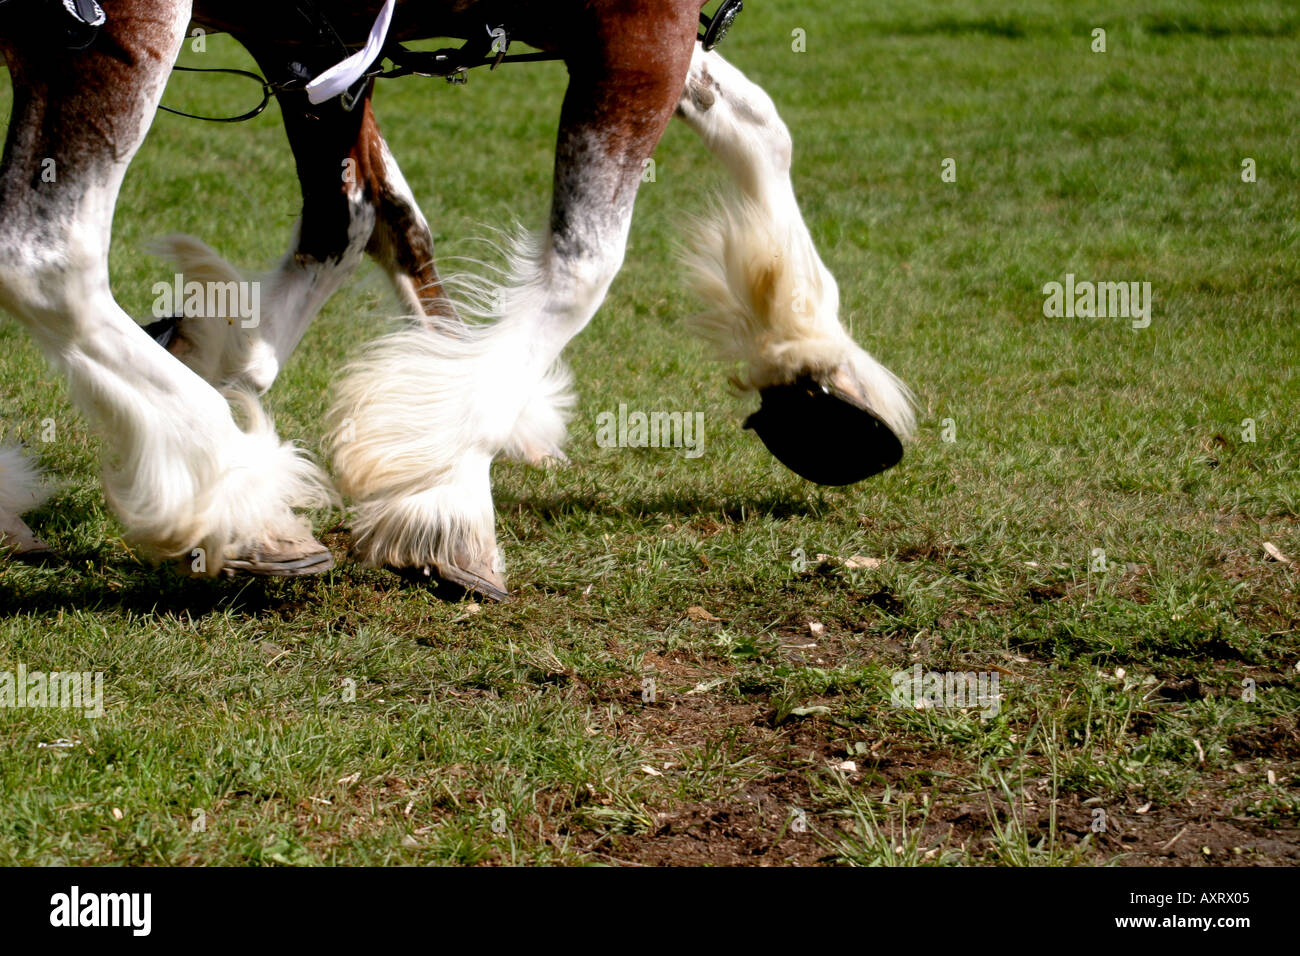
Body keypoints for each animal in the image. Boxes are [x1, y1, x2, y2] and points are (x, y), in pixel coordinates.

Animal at [0, 0, 914, 601]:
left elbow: (757, 123)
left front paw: (814, 369)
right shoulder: (636, 19)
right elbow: (579, 265)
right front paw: (442, 493)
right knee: (44, 258)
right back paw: (236, 494)